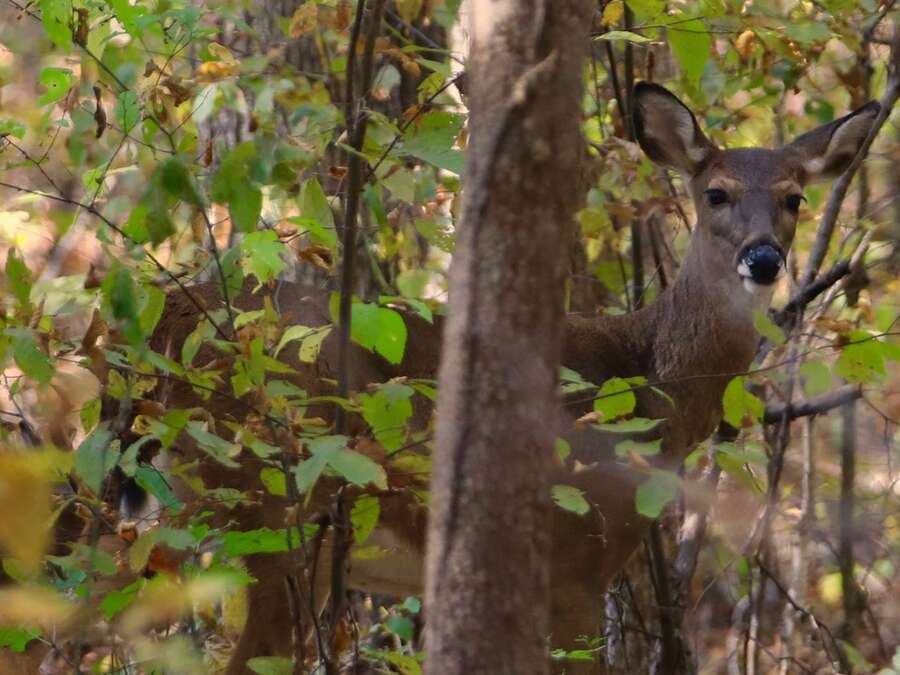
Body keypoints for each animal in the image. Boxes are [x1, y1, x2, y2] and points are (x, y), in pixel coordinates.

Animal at [58, 83, 878, 675]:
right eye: (715, 192)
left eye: (796, 197)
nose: (763, 258)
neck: (648, 384)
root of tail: (162, 324)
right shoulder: (571, 565)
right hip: (269, 504)